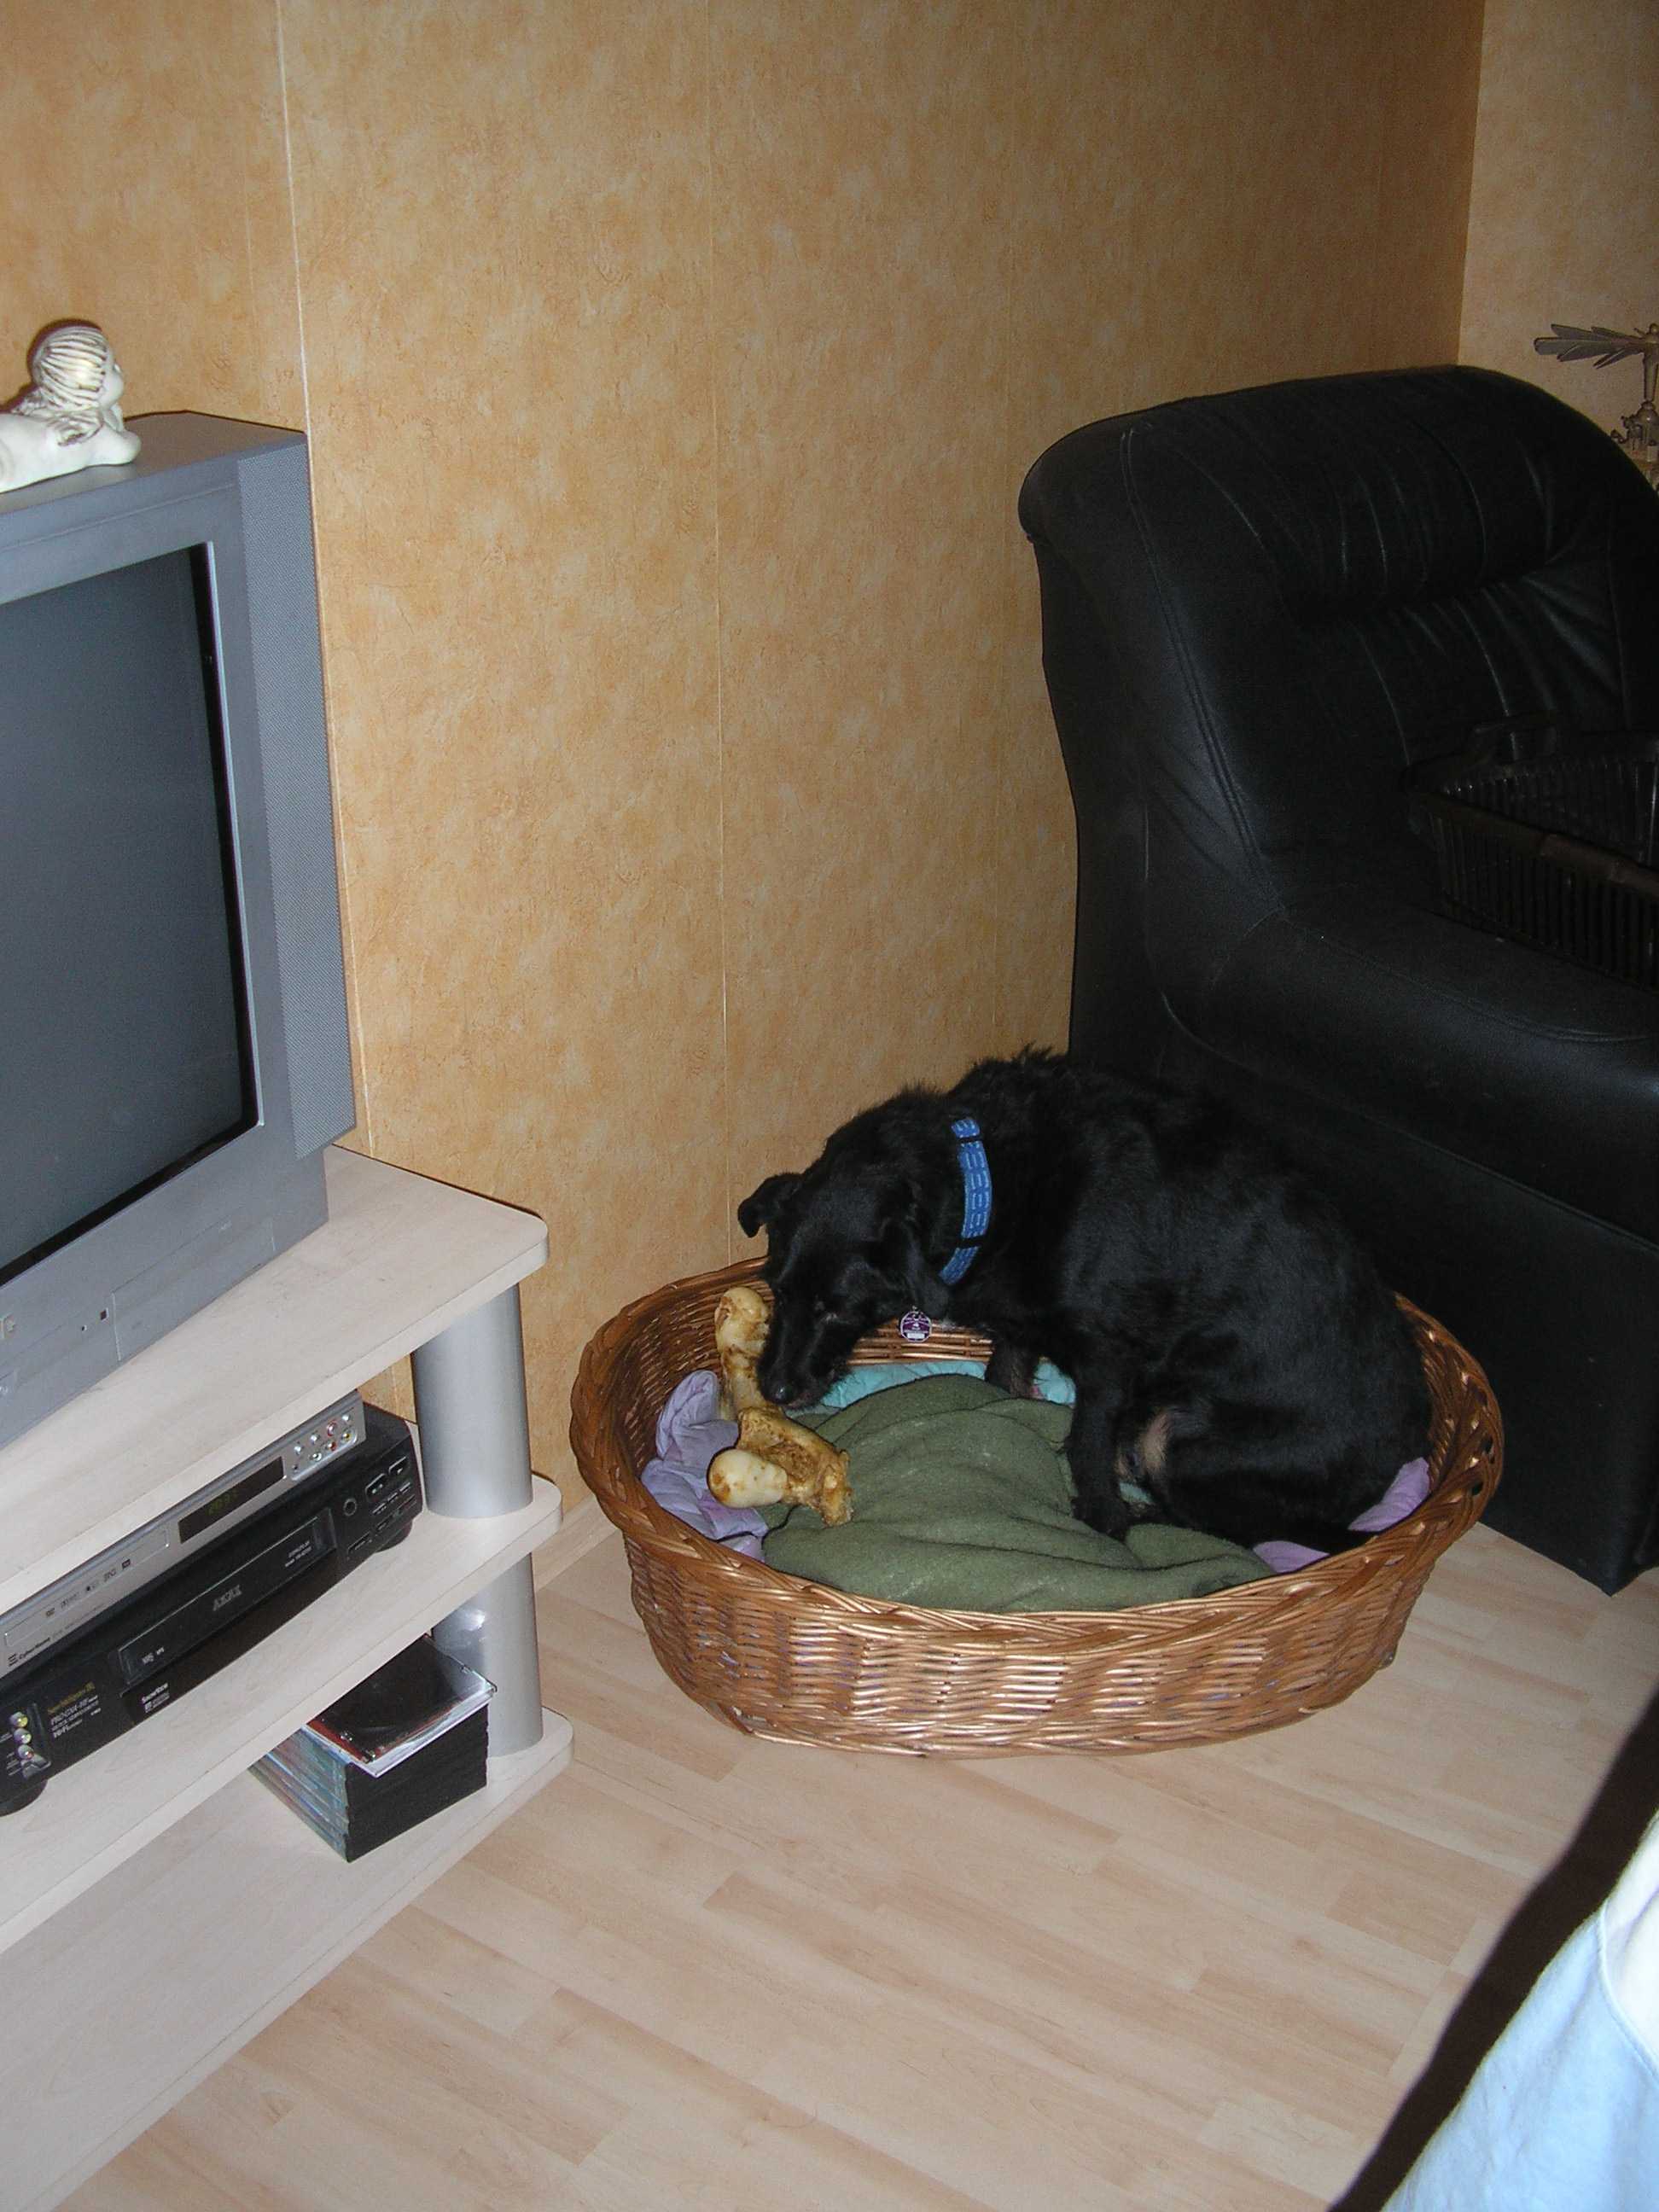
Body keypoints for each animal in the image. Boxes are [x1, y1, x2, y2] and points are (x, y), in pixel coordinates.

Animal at [738, 1050, 1429, 1554]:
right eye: (777, 1287)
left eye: (837, 1307)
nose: (773, 1390)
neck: (990, 1184)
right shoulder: (1021, 1333)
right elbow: (1005, 1385)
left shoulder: (1108, 1364)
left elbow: (1087, 1451)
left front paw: (1105, 1525)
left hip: (1176, 1434)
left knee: (1228, 1529)